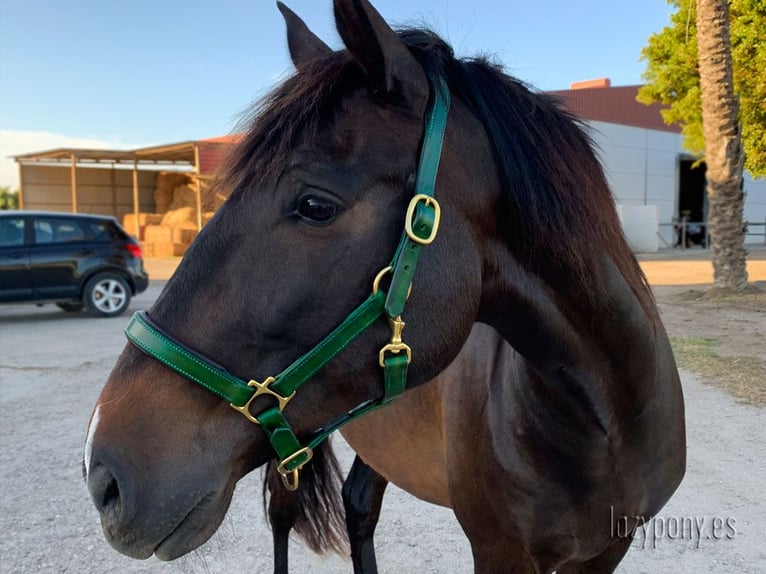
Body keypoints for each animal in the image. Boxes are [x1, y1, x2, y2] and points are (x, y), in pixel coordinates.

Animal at [85, 2, 688, 572]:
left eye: (315, 205)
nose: (103, 477)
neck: (605, 421)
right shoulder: (501, 553)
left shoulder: (607, 551)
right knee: (285, 518)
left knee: (357, 506)